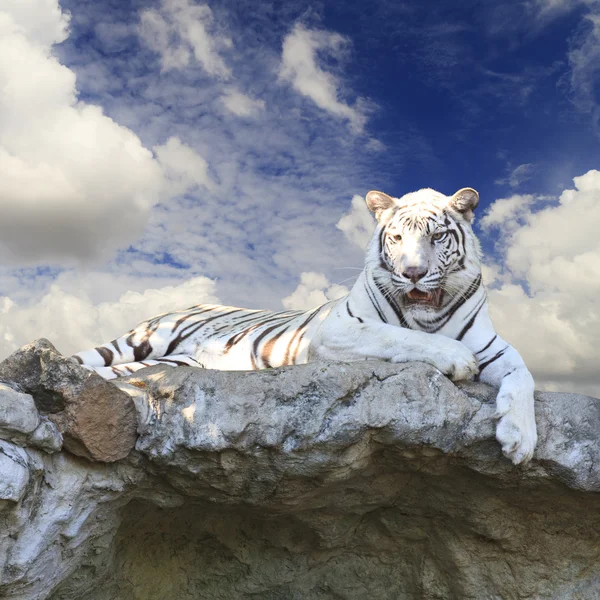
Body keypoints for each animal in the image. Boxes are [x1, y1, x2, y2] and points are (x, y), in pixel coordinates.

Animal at [75, 188, 540, 464]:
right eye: (396, 239)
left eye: (437, 236)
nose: (412, 273)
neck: (429, 315)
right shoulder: (339, 329)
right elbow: (401, 335)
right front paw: (457, 360)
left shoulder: (494, 346)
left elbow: (523, 374)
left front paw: (520, 438)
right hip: (142, 340)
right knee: (83, 359)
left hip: (168, 364)